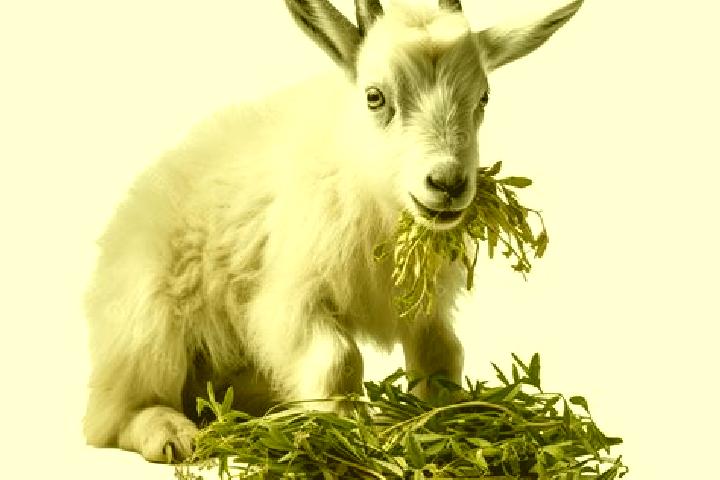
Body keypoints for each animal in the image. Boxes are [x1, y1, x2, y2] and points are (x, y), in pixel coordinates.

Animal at [83, 0, 584, 462]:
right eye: (375, 96)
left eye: (483, 98)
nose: (447, 183)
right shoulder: (289, 297)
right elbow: (340, 359)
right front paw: (340, 433)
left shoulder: (420, 307)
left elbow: (444, 354)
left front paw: (442, 420)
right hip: (148, 328)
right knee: (118, 414)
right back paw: (172, 435)